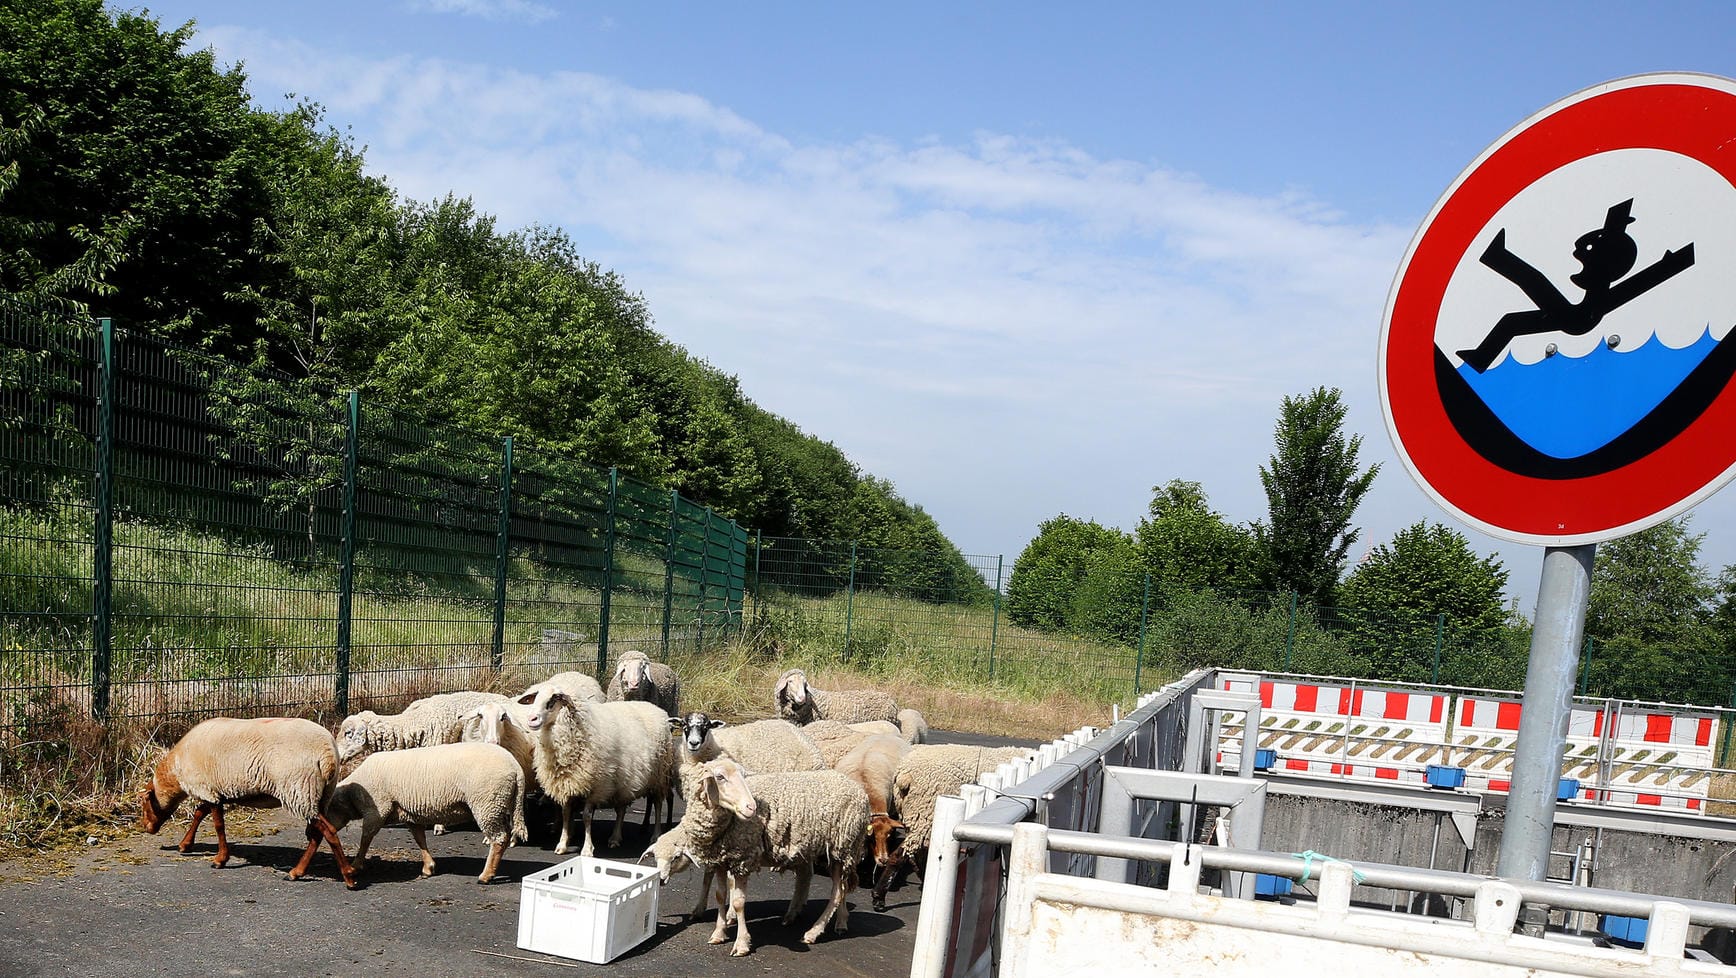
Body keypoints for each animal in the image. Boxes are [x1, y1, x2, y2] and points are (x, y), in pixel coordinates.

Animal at [138, 715, 355, 889]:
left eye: (143, 804)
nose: (146, 828)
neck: (176, 771)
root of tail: (328, 754)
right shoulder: (213, 790)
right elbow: (200, 813)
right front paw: (185, 845)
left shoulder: (208, 789)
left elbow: (218, 825)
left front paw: (220, 860)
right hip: (320, 795)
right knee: (318, 834)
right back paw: (297, 872)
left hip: (301, 790)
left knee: (329, 831)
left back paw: (348, 877)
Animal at [326, 743, 524, 889]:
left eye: (328, 809)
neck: (355, 792)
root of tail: (516, 768)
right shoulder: (410, 814)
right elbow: (419, 838)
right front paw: (428, 867)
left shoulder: (377, 810)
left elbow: (365, 839)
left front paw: (356, 865)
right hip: (498, 805)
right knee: (505, 836)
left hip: (487, 803)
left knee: (499, 839)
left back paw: (486, 875)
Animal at [520, 687, 677, 858]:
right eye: (535, 698)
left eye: (553, 700)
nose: (531, 719)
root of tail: (659, 710)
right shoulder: (568, 783)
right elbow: (566, 814)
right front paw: (562, 844)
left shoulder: (596, 786)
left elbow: (587, 816)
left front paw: (587, 849)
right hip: (624, 780)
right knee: (622, 809)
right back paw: (615, 838)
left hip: (659, 776)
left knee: (657, 804)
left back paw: (655, 835)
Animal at [677, 757, 868, 958]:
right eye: (720, 777)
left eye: (743, 775)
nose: (751, 807)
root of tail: (859, 789)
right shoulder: (721, 860)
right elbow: (720, 896)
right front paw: (718, 933)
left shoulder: (743, 859)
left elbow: (738, 903)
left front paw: (742, 944)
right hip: (839, 849)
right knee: (840, 885)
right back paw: (840, 922)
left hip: (843, 846)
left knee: (837, 892)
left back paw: (813, 932)